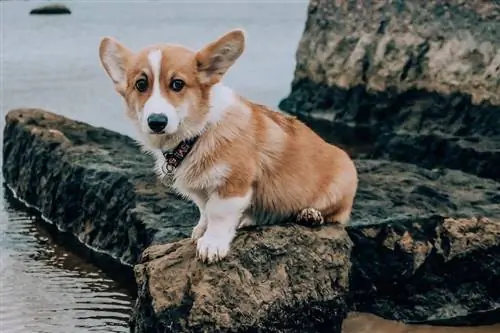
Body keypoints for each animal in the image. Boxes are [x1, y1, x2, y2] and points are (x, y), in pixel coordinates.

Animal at [97, 28, 358, 262]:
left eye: (177, 84)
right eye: (141, 85)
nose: (157, 122)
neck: (197, 134)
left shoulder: (233, 185)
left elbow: (219, 215)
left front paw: (212, 244)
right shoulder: (203, 191)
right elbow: (205, 210)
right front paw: (202, 229)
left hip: (341, 182)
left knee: (336, 214)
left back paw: (310, 214)